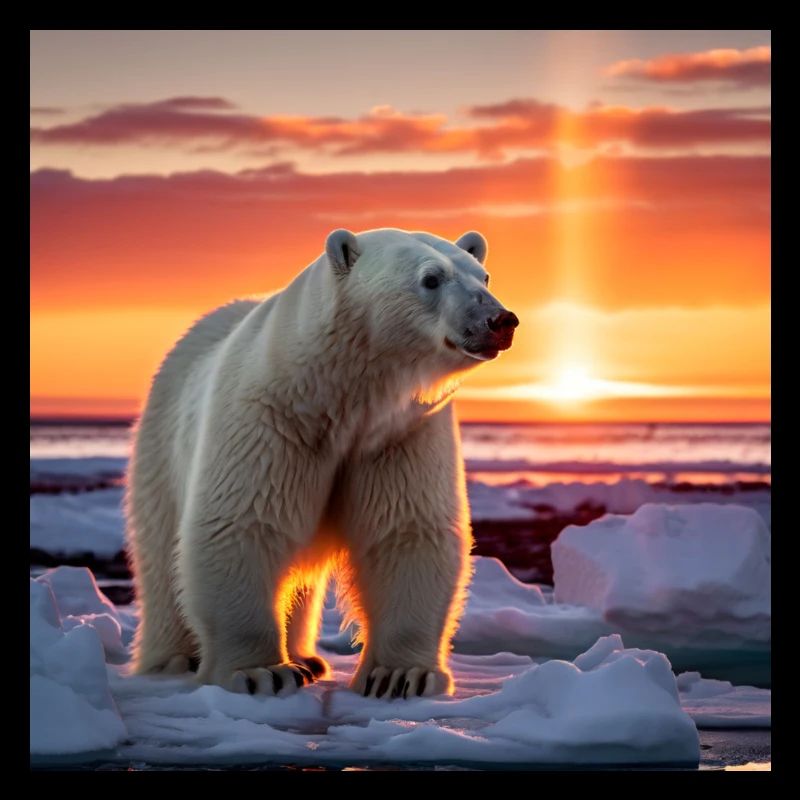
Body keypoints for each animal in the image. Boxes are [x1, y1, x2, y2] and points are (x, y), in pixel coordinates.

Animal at [125, 228, 518, 698]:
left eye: (484, 275)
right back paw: (175, 659)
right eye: (431, 278)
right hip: (161, 442)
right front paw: (259, 672)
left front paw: (401, 675)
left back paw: (306, 658)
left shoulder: (400, 434)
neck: (336, 398)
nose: (501, 320)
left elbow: (407, 531)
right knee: (161, 555)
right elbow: (243, 525)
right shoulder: (269, 420)